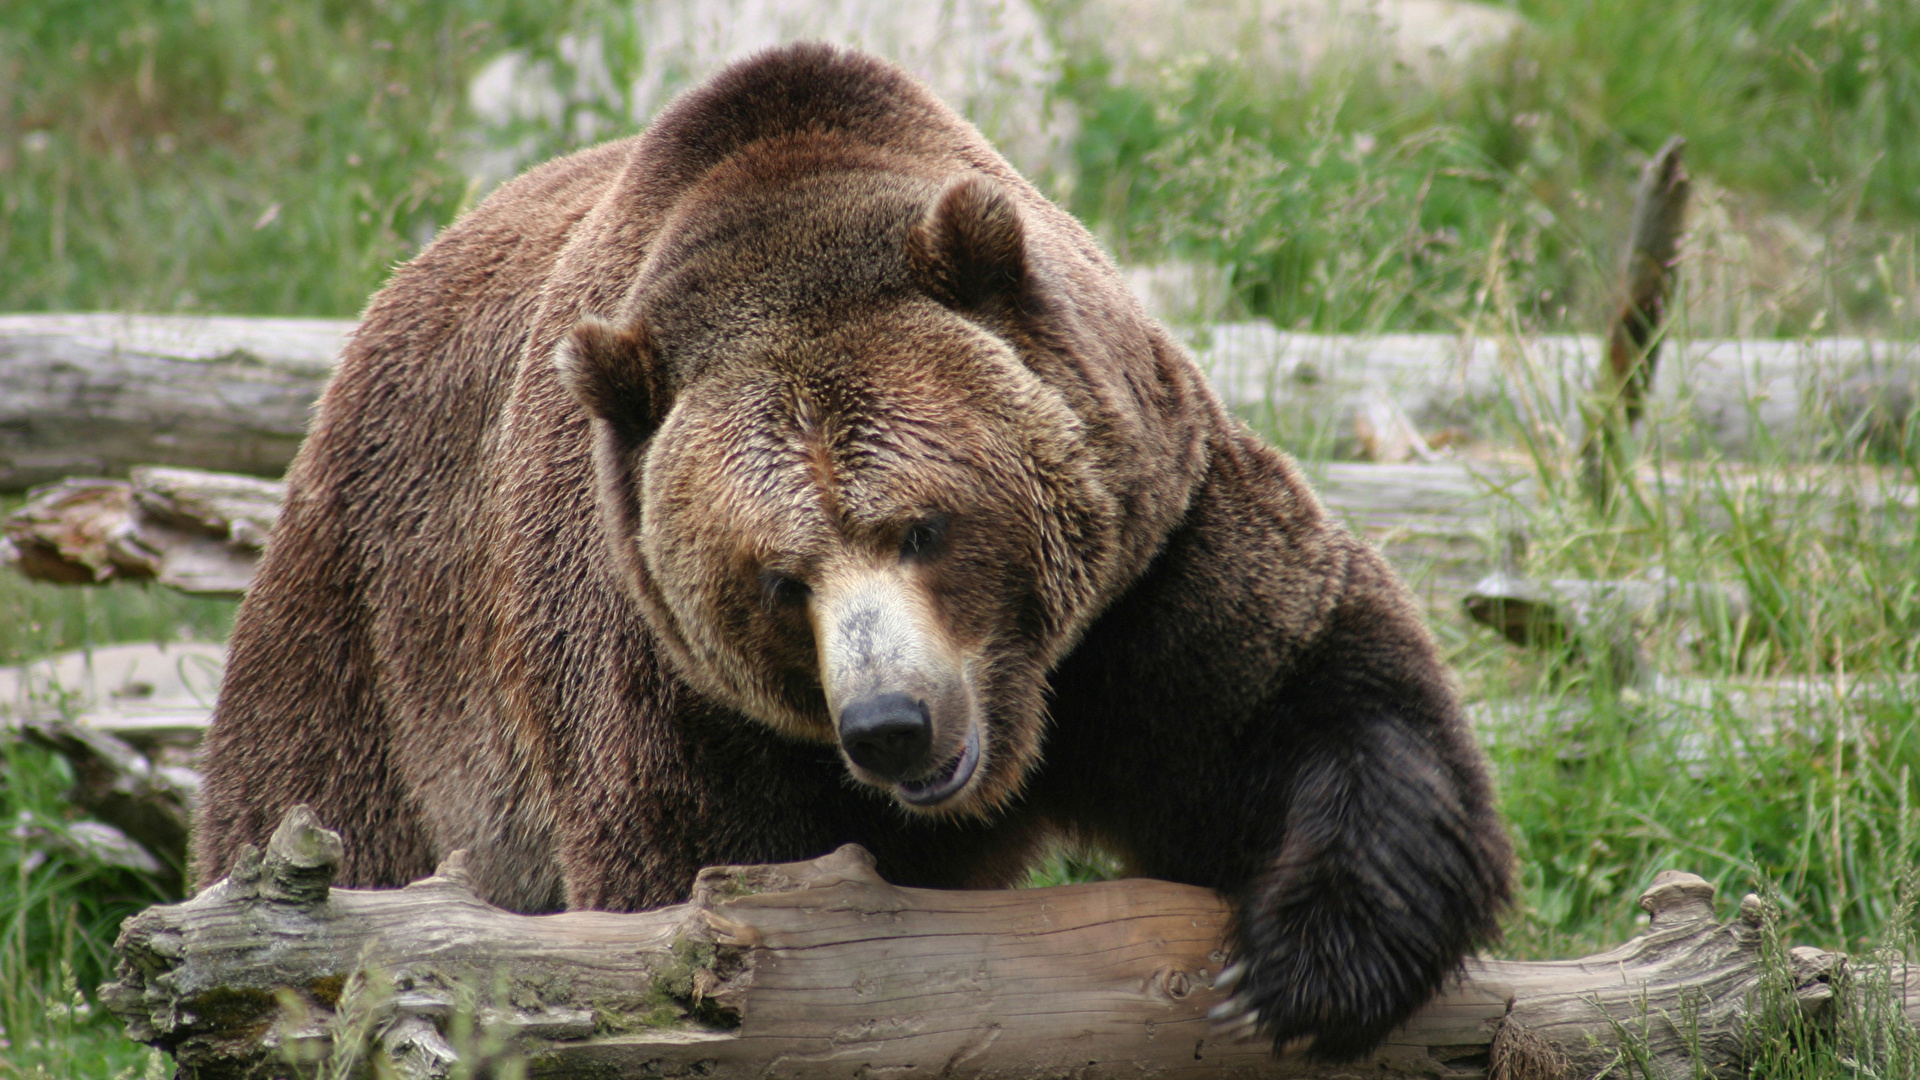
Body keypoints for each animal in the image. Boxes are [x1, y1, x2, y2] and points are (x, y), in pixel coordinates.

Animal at [192, 43, 1511, 1060]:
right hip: (372, 657)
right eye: (780, 580)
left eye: (923, 525)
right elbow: (698, 895)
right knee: (330, 827)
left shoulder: (1143, 565)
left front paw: (1294, 969)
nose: (892, 723)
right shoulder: (671, 689)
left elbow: (1308, 694)